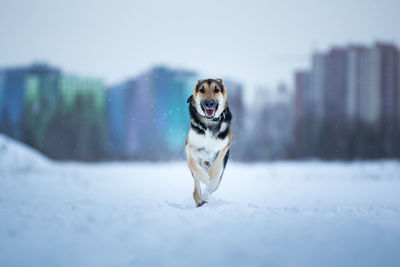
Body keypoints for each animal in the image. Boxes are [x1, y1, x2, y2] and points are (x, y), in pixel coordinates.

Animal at [185, 78, 233, 208]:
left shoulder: (225, 145)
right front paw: (204, 178)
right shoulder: (189, 146)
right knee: (196, 189)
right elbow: (193, 164)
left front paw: (209, 180)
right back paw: (200, 200)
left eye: (217, 90)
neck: (209, 123)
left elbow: (214, 168)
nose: (209, 103)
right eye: (202, 90)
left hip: (222, 168)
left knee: (214, 182)